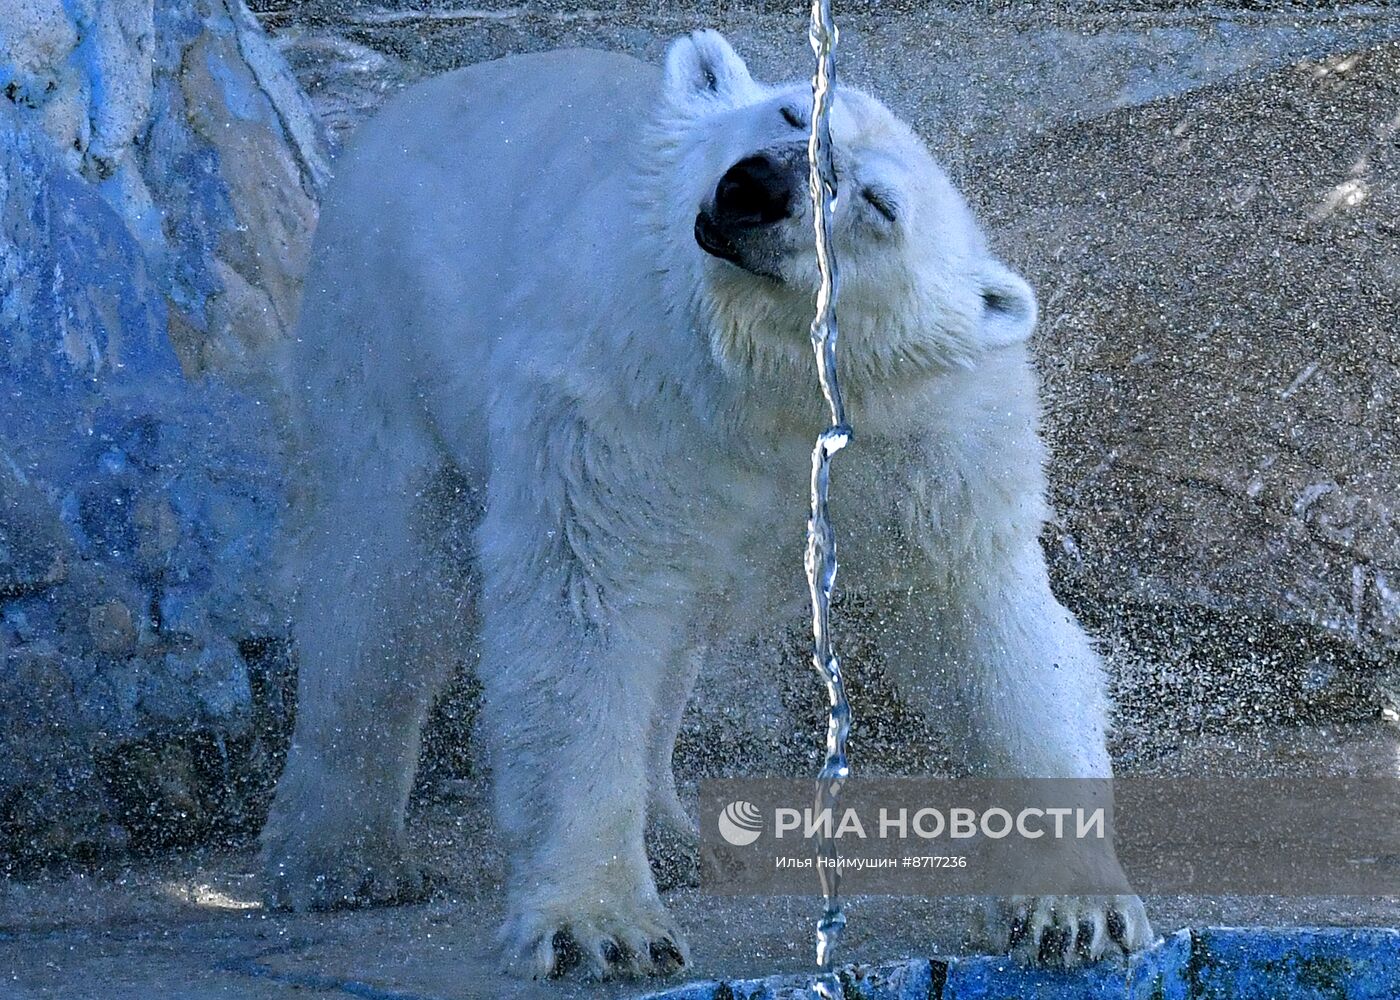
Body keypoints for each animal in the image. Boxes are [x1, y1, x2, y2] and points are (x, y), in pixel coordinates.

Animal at [260, 29, 1148, 974]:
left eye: (880, 203)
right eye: (792, 112)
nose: (757, 186)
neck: (768, 388)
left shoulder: (937, 442)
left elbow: (987, 627)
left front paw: (1075, 913)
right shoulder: (621, 398)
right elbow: (586, 613)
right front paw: (600, 931)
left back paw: (672, 834)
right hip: (384, 334)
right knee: (386, 596)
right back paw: (340, 862)